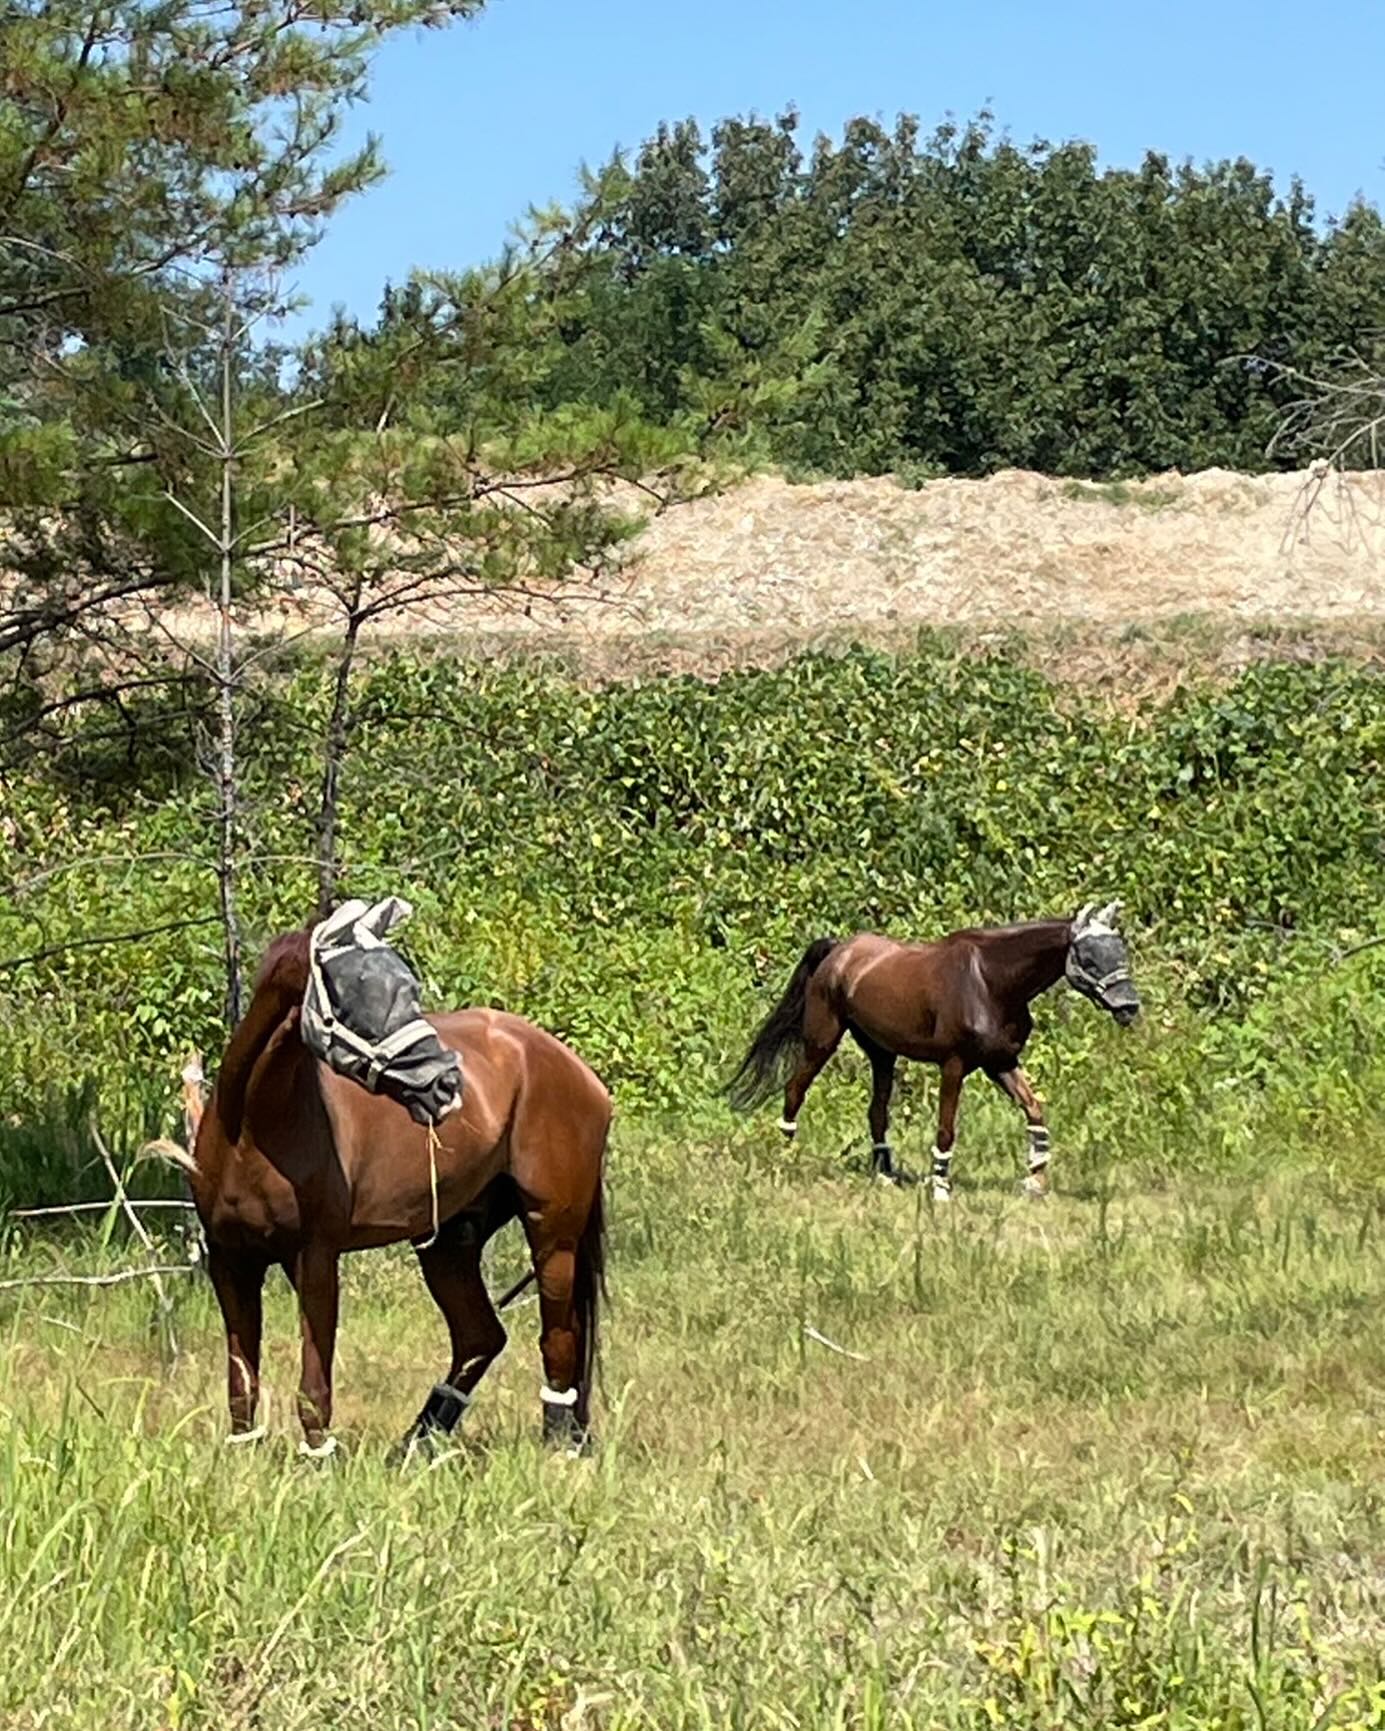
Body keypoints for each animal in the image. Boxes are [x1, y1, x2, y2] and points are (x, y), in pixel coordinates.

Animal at [165, 927, 609, 1454]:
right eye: (352, 990)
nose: (446, 1083)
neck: (250, 1131)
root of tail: (578, 1072)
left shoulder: (314, 1258)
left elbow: (313, 1385)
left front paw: (318, 1457)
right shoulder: (230, 1261)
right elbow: (242, 1380)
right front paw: (244, 1451)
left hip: (552, 1233)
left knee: (559, 1337)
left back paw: (559, 1444)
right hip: (448, 1242)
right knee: (481, 1337)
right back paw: (417, 1445)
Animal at [723, 900, 1135, 1197]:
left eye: (1121, 952)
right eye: (1088, 958)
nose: (1130, 1006)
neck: (990, 981)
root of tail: (838, 950)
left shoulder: (1001, 1062)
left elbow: (1034, 1110)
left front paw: (1035, 1181)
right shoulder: (954, 1065)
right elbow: (946, 1128)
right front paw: (940, 1187)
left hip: (882, 1053)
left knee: (876, 1112)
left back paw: (885, 1175)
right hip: (821, 1041)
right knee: (795, 1089)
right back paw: (786, 1157)